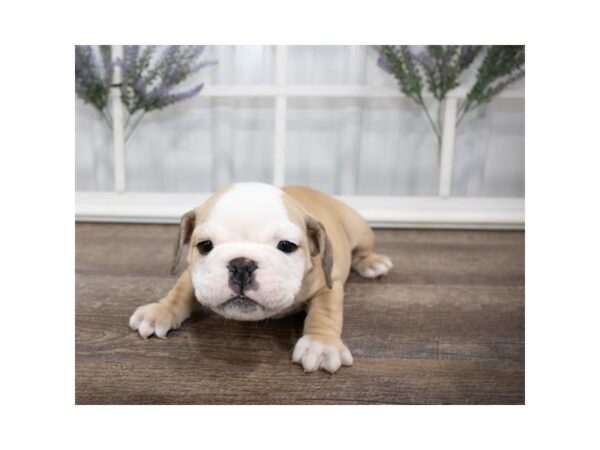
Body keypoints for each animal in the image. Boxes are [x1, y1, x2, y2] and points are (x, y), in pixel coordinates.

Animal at [128, 183, 392, 372]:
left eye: (287, 245)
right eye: (205, 246)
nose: (242, 265)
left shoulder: (329, 283)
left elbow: (325, 311)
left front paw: (321, 345)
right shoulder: (192, 274)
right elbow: (179, 292)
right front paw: (160, 312)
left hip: (360, 230)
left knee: (363, 250)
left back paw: (372, 263)